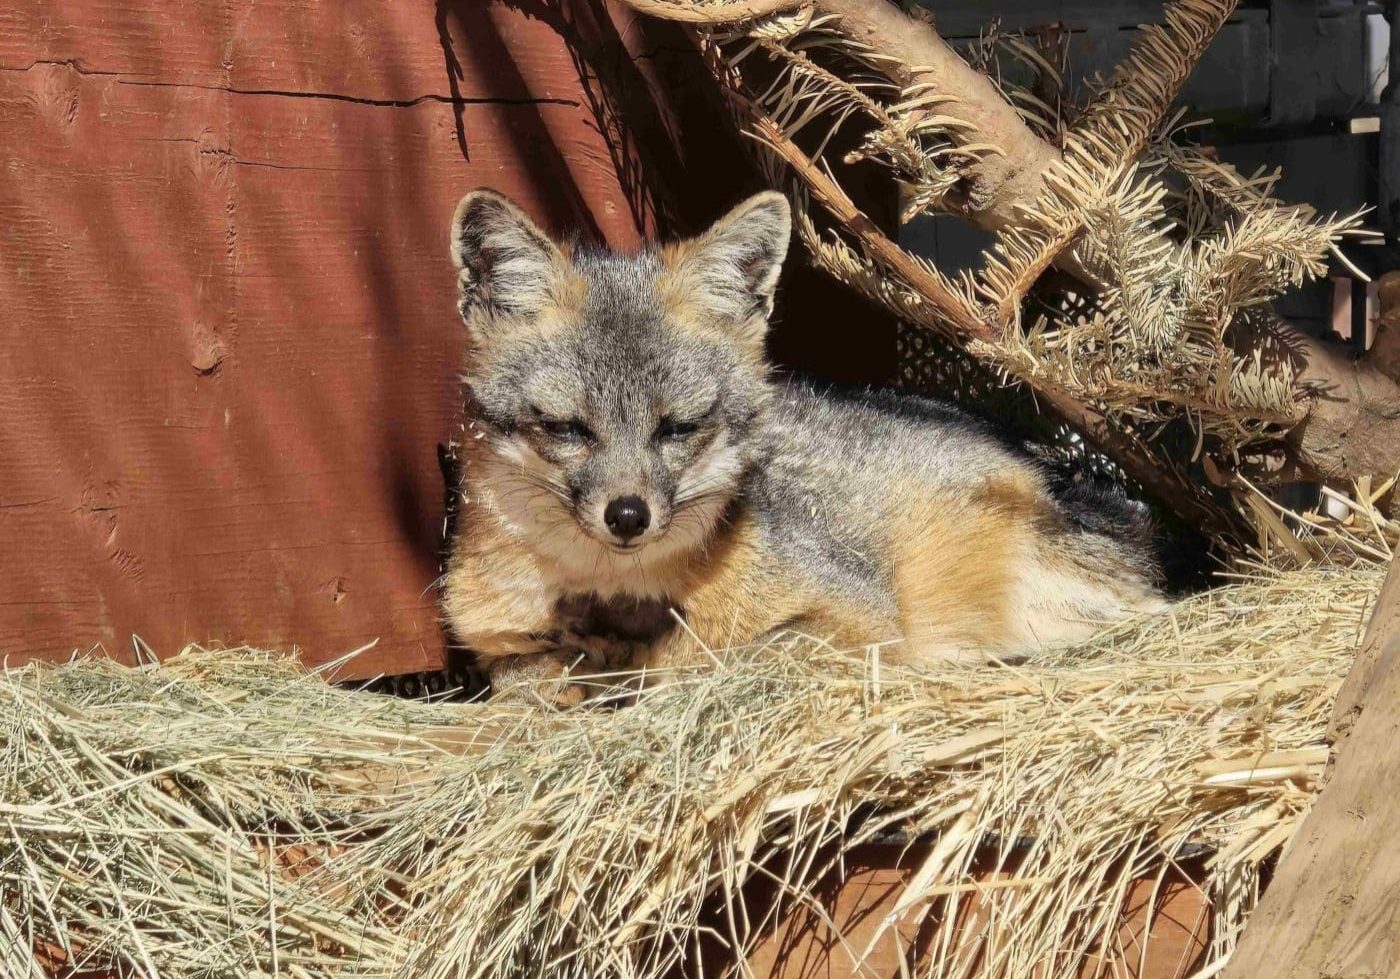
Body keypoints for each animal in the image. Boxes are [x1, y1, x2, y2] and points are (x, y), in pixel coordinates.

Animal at [440, 188, 1166, 705]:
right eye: (567, 427)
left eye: (679, 428)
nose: (627, 516)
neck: (618, 598)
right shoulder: (495, 641)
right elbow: (524, 669)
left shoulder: (861, 611)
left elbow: (727, 656)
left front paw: (646, 670)